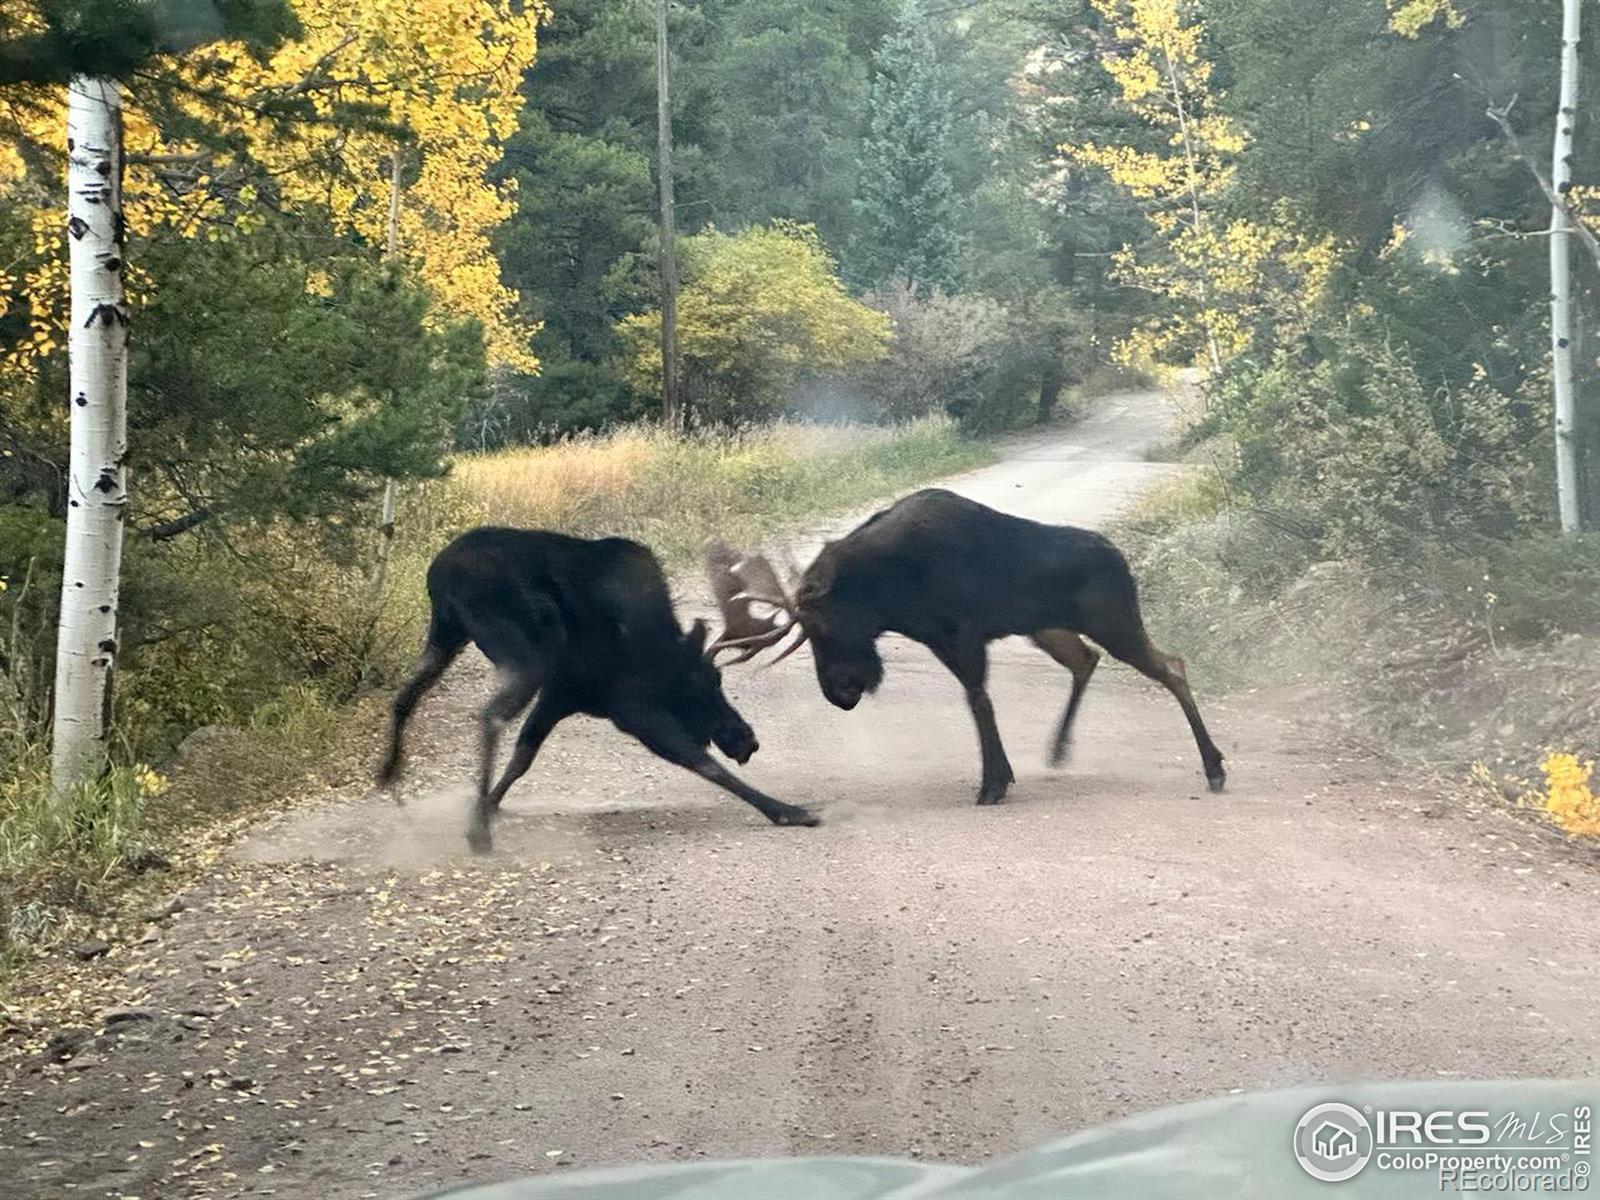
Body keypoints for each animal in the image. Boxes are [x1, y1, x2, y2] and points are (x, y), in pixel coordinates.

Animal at [379, 528, 819, 857]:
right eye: (709, 680)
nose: (748, 739)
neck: (658, 648)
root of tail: (442, 571)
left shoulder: (562, 694)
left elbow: (524, 755)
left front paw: (487, 802)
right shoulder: (630, 706)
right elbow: (700, 761)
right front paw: (788, 811)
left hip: (446, 633)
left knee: (404, 697)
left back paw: (390, 775)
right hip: (523, 651)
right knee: (489, 715)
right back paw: (477, 833)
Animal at [710, 489, 1222, 809]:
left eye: (821, 628)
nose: (840, 693)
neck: (885, 595)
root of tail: (1123, 561)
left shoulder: (965, 634)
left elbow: (978, 701)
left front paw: (993, 783)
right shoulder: (944, 640)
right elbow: (977, 702)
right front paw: (1001, 776)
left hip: (1113, 622)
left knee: (1173, 666)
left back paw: (1214, 767)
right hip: (1048, 629)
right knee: (1087, 661)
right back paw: (1058, 749)